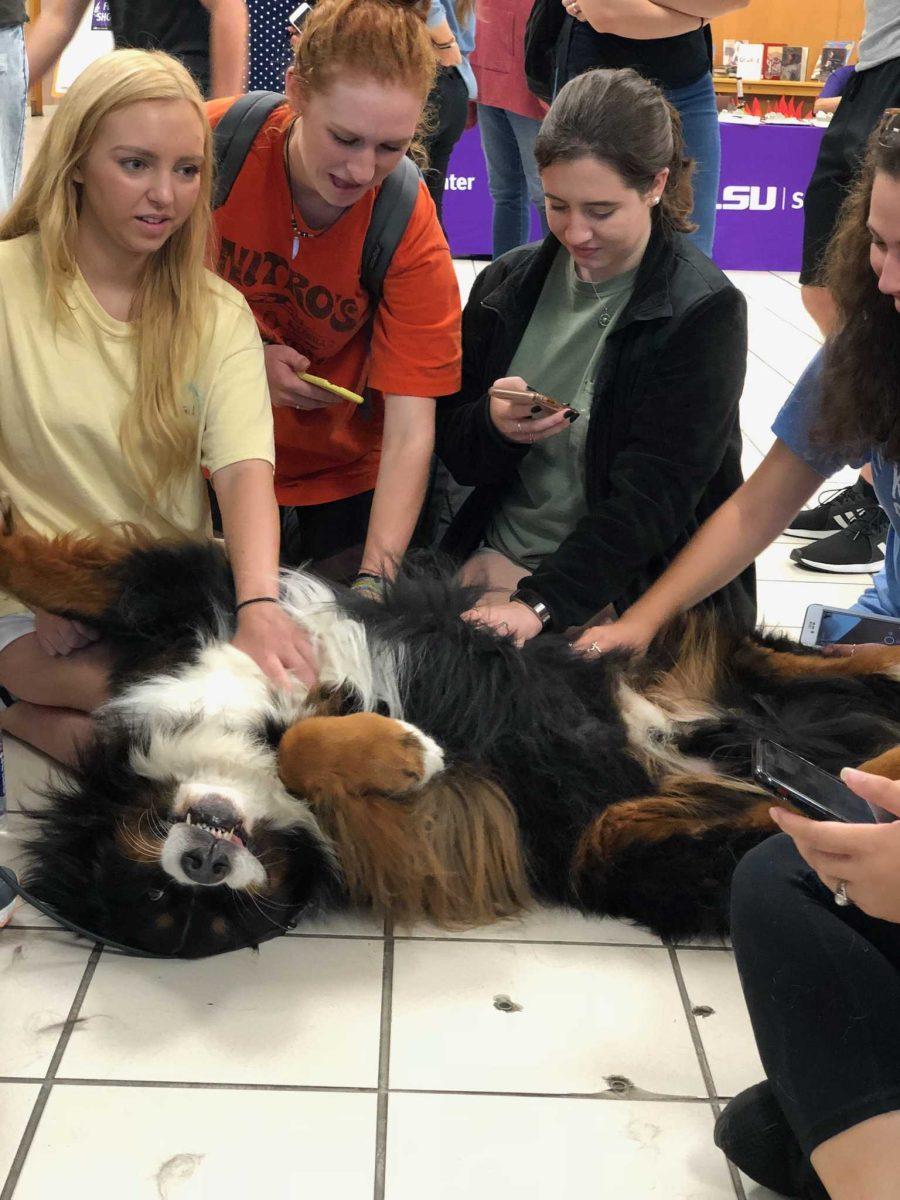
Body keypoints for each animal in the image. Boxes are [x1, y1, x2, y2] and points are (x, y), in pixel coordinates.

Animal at [5, 520, 900, 960]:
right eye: (186, 912)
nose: (202, 865)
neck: (238, 736)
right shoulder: (443, 825)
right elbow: (320, 760)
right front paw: (400, 749)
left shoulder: (211, 606)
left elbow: (81, 578)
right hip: (613, 848)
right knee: (758, 819)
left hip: (683, 663)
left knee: (812, 661)